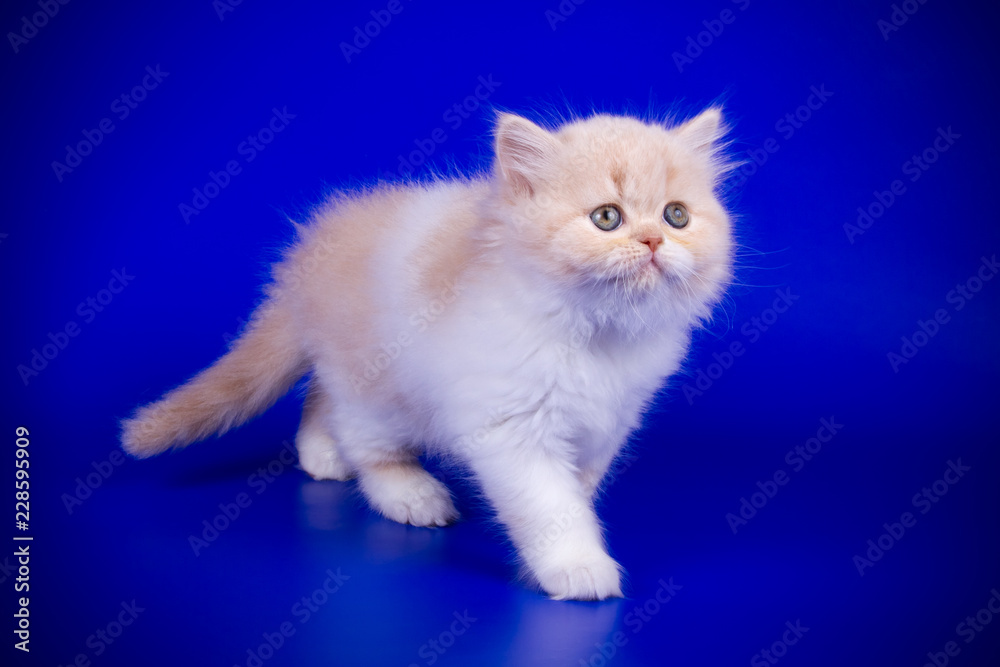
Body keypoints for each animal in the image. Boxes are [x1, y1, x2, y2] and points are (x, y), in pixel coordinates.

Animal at [123, 108, 736, 600]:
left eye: (676, 216)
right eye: (607, 218)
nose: (654, 242)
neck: (598, 334)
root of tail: (304, 267)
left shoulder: (608, 422)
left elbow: (577, 492)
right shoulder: (511, 424)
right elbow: (548, 503)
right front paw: (577, 568)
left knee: (323, 395)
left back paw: (321, 454)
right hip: (380, 388)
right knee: (363, 438)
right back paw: (407, 492)